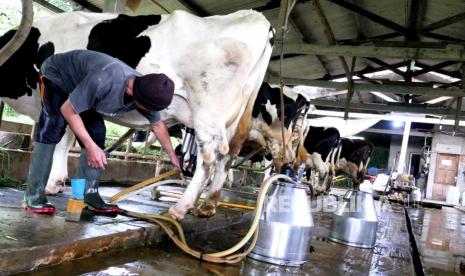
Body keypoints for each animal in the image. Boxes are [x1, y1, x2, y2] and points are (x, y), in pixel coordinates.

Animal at [0, 10, 272, 220]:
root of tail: (256, 17)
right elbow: (69, 139)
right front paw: (57, 182)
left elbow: (59, 139)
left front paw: (50, 184)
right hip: (236, 119)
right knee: (229, 155)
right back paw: (208, 206)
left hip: (207, 108)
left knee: (210, 156)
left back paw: (180, 208)